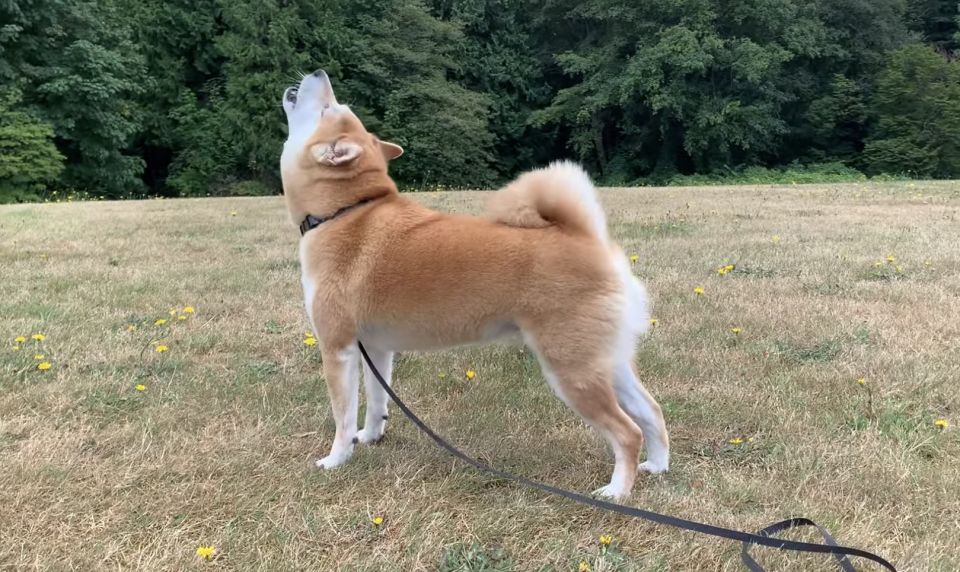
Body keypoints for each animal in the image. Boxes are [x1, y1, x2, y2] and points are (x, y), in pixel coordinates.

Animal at [278, 69, 668, 498]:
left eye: (328, 108)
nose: (319, 73)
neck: (345, 212)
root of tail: (589, 239)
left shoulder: (337, 348)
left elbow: (342, 415)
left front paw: (336, 459)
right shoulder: (376, 349)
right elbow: (376, 404)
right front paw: (370, 437)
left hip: (572, 370)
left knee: (627, 432)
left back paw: (617, 491)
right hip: (605, 360)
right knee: (652, 412)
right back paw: (657, 466)